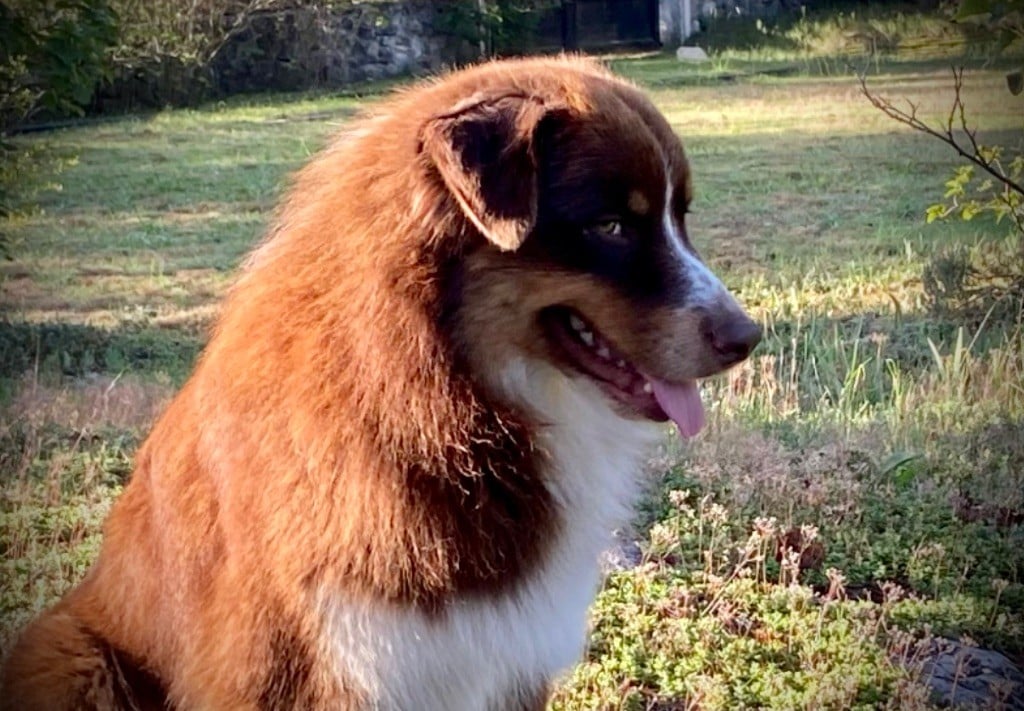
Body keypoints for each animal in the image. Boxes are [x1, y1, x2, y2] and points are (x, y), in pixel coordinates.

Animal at [2, 57, 761, 711]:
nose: (746, 337)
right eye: (611, 225)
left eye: (681, 217)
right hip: (74, 655)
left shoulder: (506, 660)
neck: (446, 400)